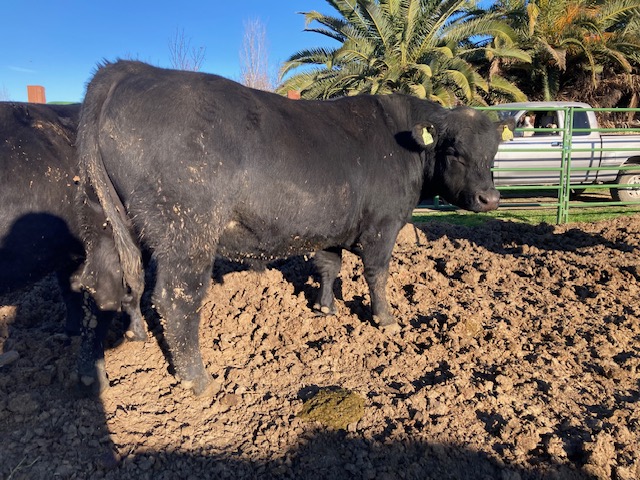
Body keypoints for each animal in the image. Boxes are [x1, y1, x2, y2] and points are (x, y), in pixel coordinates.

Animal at [75, 61, 504, 398]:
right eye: (455, 151)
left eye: (493, 153)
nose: (490, 198)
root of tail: (130, 68)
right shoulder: (383, 226)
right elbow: (377, 274)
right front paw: (386, 319)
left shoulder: (332, 226)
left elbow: (329, 266)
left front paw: (325, 308)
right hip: (187, 231)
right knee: (176, 299)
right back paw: (198, 380)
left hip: (106, 225)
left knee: (99, 288)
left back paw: (97, 372)